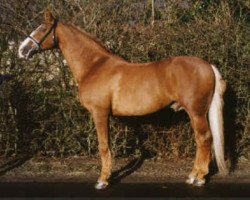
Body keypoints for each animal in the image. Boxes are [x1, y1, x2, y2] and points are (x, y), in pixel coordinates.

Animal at [18, 10, 228, 189]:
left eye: (42, 29)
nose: (22, 50)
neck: (94, 66)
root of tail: (207, 66)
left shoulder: (99, 112)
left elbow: (103, 146)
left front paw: (102, 180)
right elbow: (108, 145)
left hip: (196, 112)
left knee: (204, 139)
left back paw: (198, 178)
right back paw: (193, 175)